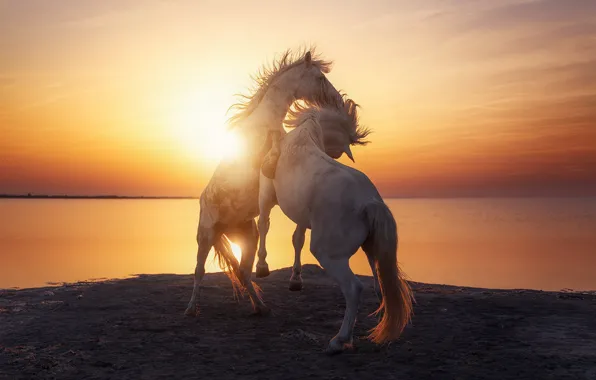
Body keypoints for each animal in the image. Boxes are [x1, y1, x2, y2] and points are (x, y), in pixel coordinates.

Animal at [184, 50, 342, 318]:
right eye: (320, 78)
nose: (336, 99)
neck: (264, 121)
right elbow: (272, 152)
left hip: (248, 237)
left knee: (243, 271)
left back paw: (261, 306)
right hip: (205, 236)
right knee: (199, 271)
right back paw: (191, 308)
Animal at [258, 98, 370, 290]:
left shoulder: (301, 212)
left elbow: (297, 239)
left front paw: (296, 278)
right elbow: (270, 228)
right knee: (263, 225)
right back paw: (262, 266)